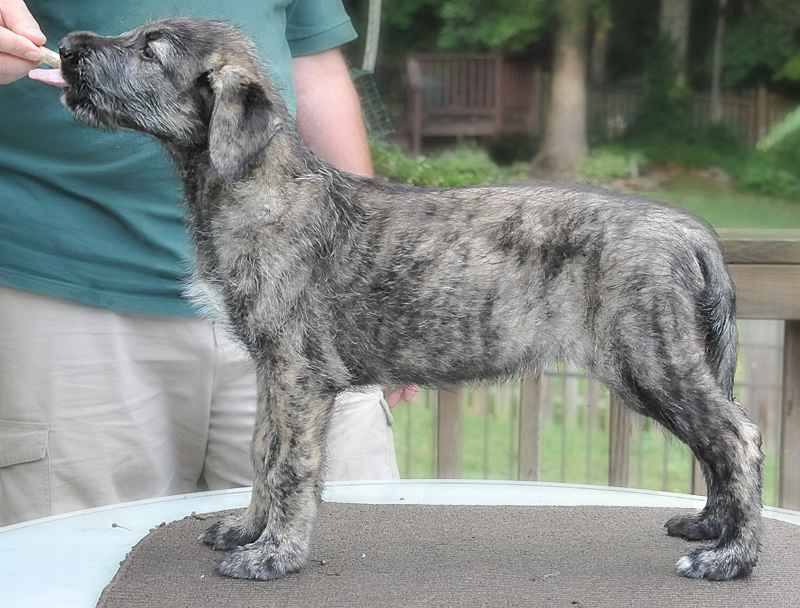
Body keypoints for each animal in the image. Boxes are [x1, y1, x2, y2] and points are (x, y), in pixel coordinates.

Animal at [56, 17, 764, 580]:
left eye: (151, 51)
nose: (64, 46)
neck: (258, 185)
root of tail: (691, 230)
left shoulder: (300, 373)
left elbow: (291, 466)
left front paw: (275, 555)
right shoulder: (270, 370)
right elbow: (262, 452)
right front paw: (248, 529)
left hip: (650, 359)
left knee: (739, 437)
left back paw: (732, 558)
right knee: (720, 441)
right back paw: (712, 528)